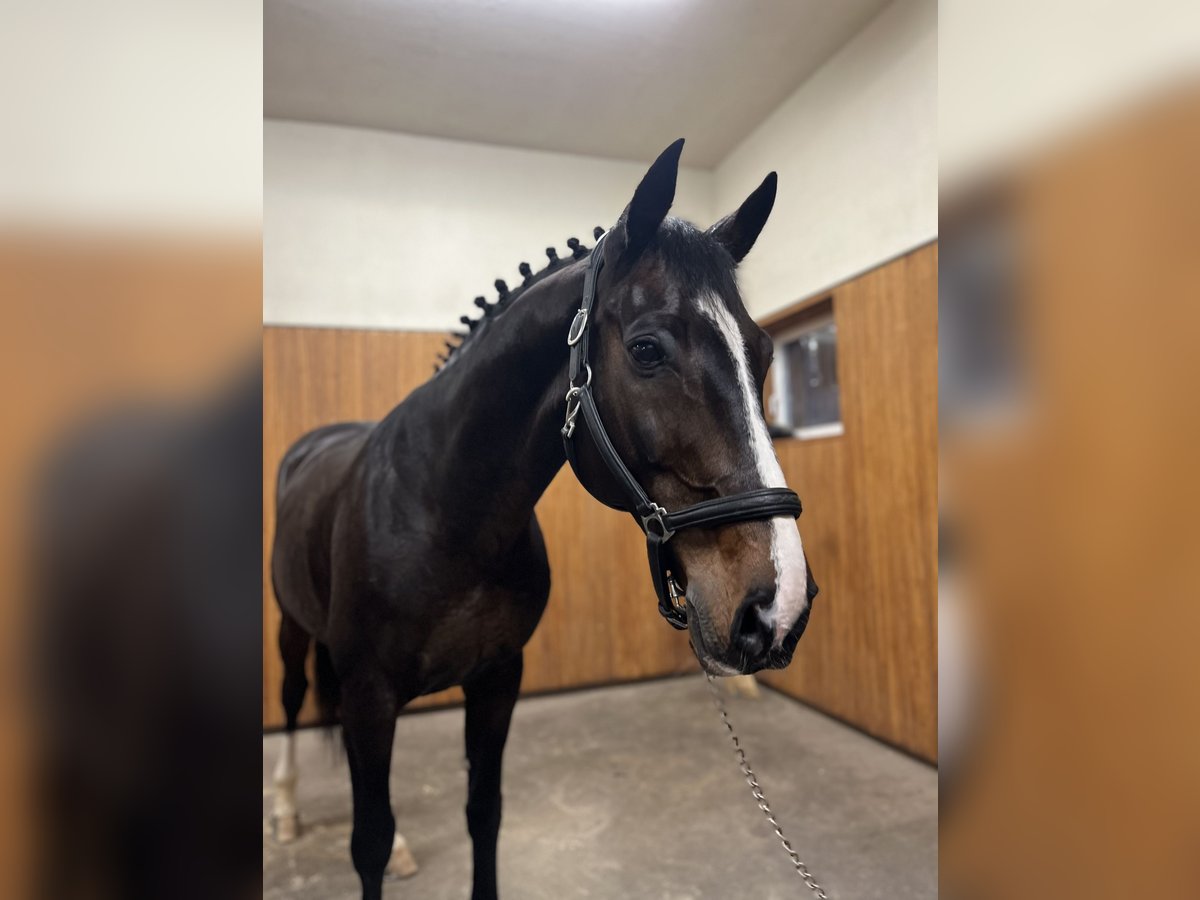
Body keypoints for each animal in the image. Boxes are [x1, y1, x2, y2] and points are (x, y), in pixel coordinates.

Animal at [269, 138, 817, 900]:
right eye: (647, 349)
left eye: (763, 354)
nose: (778, 605)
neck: (447, 516)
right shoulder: (372, 694)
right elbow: (368, 844)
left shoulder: (497, 679)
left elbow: (483, 813)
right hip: (295, 632)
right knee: (294, 702)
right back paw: (287, 811)